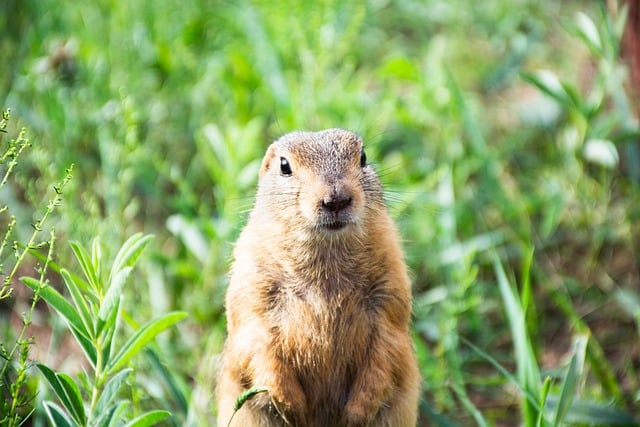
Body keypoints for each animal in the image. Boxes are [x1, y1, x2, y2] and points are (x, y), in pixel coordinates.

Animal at [218, 129, 422, 426]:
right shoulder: (252, 282)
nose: (336, 199)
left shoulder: (390, 286)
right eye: (284, 166)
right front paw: (291, 406)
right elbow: (257, 341)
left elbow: (387, 345)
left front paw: (356, 413)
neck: (326, 254)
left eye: (363, 157)